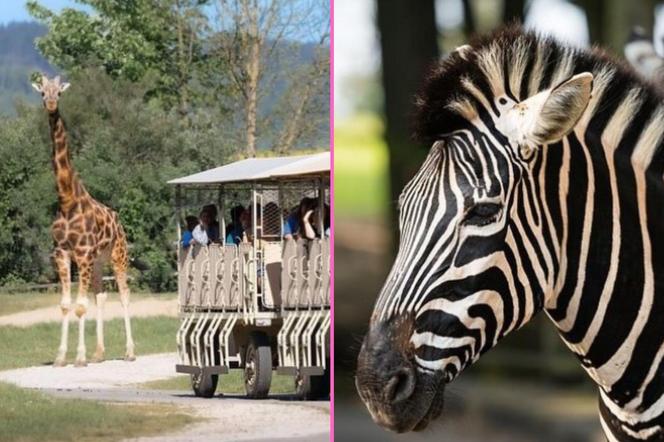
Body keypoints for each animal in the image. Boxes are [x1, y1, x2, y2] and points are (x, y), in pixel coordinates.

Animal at [31, 75, 136, 366]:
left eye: (59, 93)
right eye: (42, 92)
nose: (51, 104)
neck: (67, 200)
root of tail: (118, 221)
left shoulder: (84, 253)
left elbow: (80, 306)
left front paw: (79, 357)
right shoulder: (62, 253)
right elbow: (66, 304)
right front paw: (61, 357)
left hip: (118, 254)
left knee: (124, 295)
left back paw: (130, 352)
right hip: (99, 262)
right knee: (101, 295)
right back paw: (99, 353)